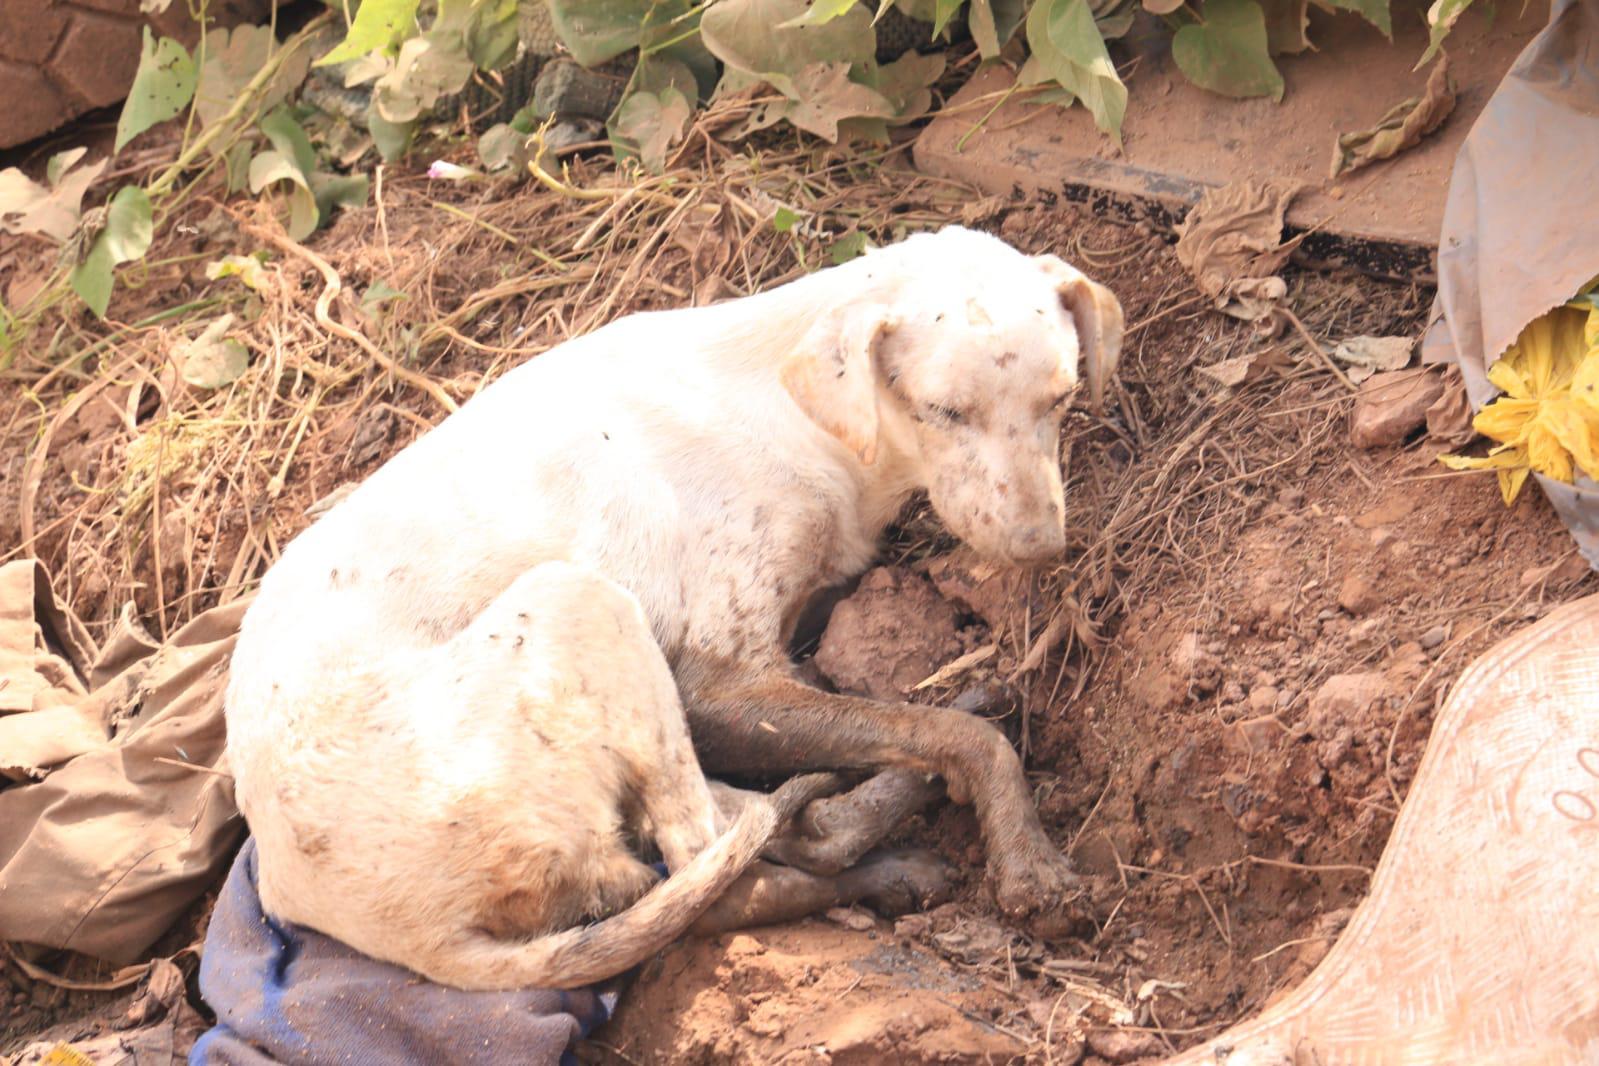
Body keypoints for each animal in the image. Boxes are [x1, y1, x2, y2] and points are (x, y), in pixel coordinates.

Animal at [228, 225, 1125, 990]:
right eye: (943, 411)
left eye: (1061, 397)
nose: (1040, 546)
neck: (798, 414)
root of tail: (405, 936)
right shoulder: (719, 687)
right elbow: (952, 735)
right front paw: (1029, 860)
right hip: (583, 602)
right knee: (744, 860)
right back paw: (898, 828)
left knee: (744, 845)